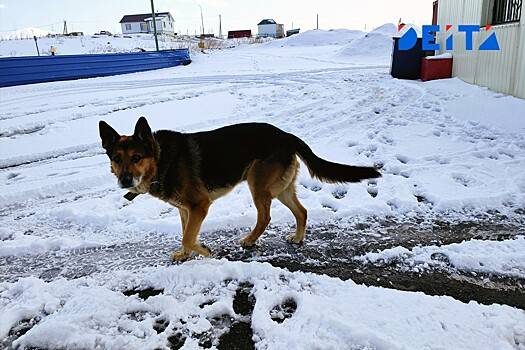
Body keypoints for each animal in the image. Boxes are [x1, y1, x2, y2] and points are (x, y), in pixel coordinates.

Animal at [98, 116, 378, 262]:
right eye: (116, 158)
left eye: (136, 157)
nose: (124, 181)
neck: (160, 159)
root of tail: (286, 135)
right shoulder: (185, 210)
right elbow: (186, 233)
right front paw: (186, 254)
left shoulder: (200, 206)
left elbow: (187, 236)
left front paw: (204, 251)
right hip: (281, 188)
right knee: (302, 211)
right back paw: (298, 238)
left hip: (259, 185)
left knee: (265, 217)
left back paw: (250, 240)